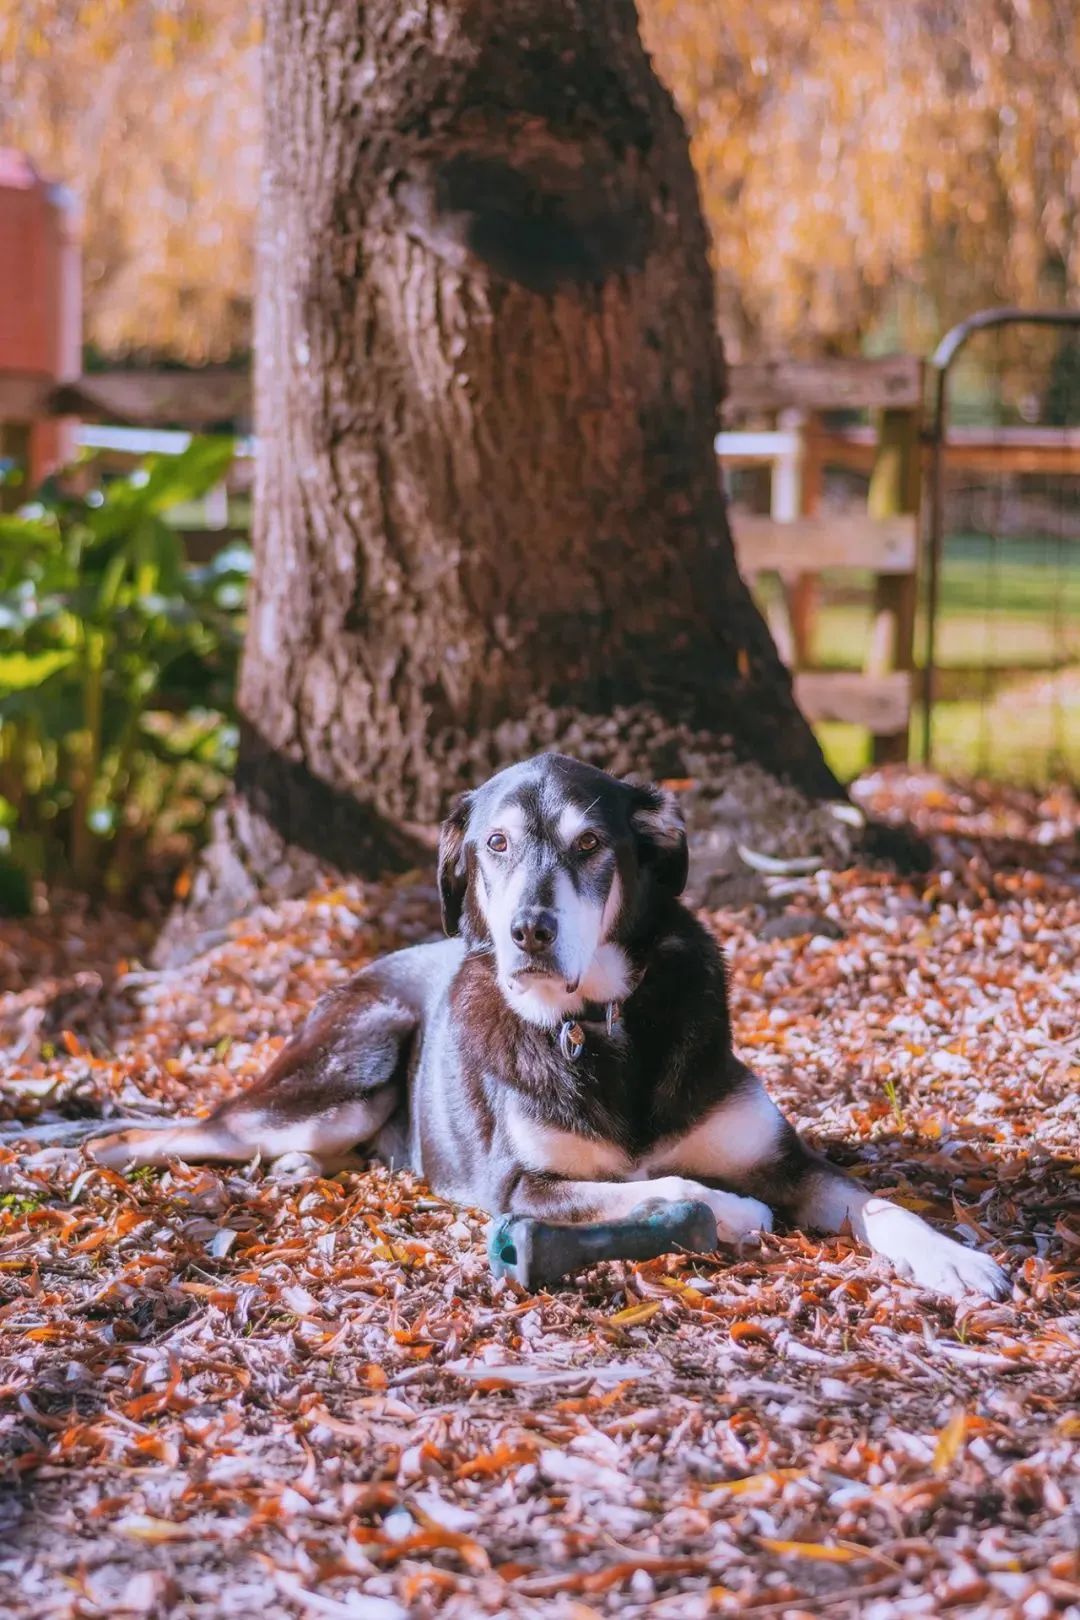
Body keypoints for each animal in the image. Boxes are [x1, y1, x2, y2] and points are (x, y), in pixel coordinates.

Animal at [88, 754, 1010, 1302]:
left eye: (592, 842)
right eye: (494, 844)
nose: (528, 931)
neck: (600, 1025)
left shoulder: (786, 1158)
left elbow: (877, 1202)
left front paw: (955, 1257)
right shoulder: (520, 1186)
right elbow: (667, 1186)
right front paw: (735, 1212)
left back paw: (299, 1169)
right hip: (353, 1062)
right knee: (159, 1134)